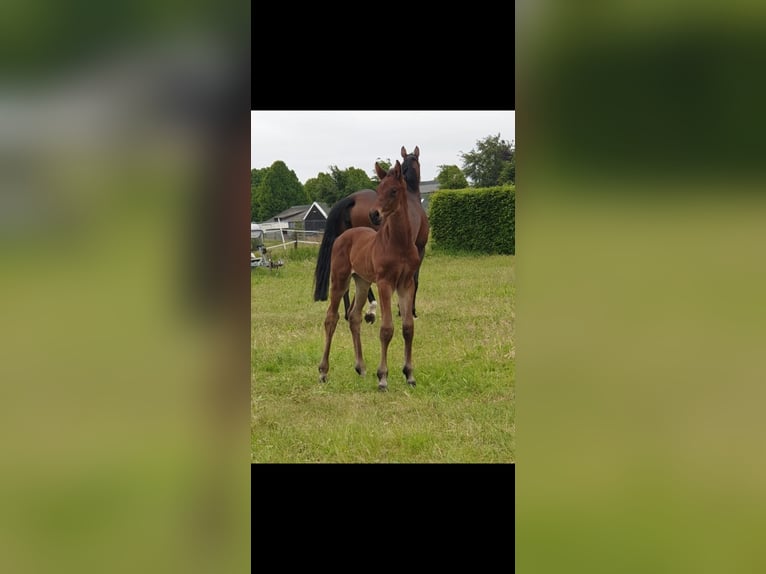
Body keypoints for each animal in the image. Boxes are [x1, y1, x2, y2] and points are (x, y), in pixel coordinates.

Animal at [316, 146, 428, 322]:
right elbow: (415, 280)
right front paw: (410, 310)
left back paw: (349, 312)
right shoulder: (420, 249)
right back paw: (371, 309)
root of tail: (351, 199)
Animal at [320, 160, 424, 392]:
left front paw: (409, 375)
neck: (399, 243)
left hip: (362, 282)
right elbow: (386, 329)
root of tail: (343, 236)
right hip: (340, 280)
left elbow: (408, 328)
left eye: (393, 190)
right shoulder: (385, 283)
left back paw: (361, 367)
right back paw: (323, 371)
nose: (374, 214)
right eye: (378, 189)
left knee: (354, 316)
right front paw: (383, 377)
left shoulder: (406, 284)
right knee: (332, 318)